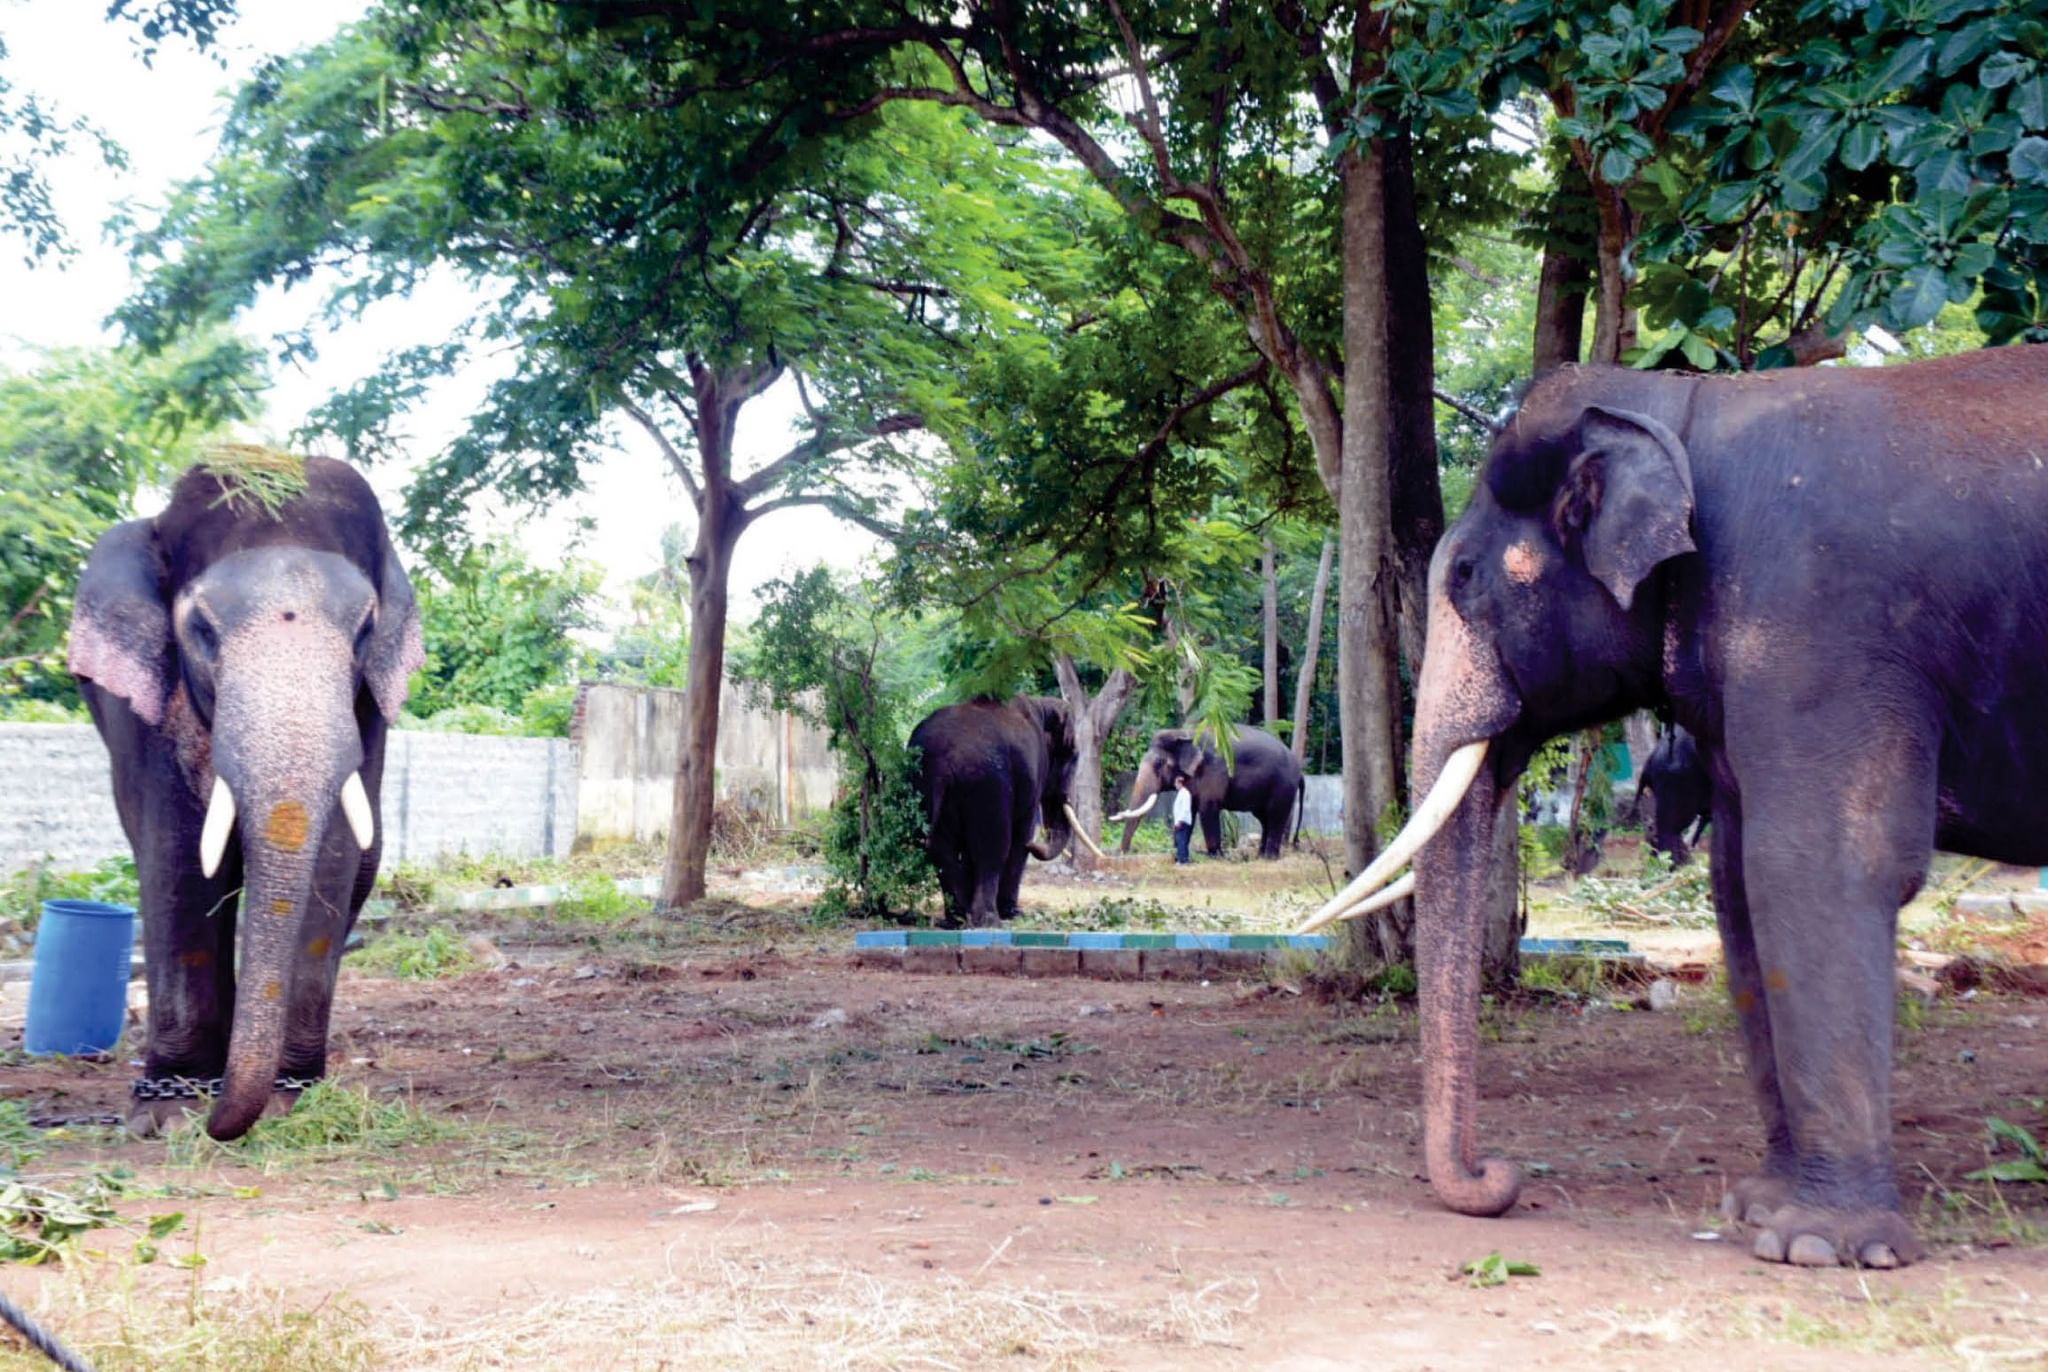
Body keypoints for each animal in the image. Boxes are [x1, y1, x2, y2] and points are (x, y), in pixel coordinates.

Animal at [69, 456, 423, 1146]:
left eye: (365, 631)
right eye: (202, 629)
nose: (218, 1126)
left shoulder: (367, 704)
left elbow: (337, 852)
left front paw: (288, 1101)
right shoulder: (144, 701)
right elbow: (176, 849)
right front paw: (170, 1114)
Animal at [909, 704, 1097, 929]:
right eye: (1074, 754)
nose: (1035, 845)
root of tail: (940, 762)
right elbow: (1021, 834)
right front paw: (1015, 914)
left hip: (923, 785)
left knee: (940, 849)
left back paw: (958, 919)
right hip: (987, 784)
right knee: (993, 847)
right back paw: (989, 921)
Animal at [1114, 729, 1302, 860]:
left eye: (1159, 763)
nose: (1121, 853)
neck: (1184, 733)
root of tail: (1299, 770)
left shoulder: (1214, 771)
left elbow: (1208, 809)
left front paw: (1215, 856)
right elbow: (1190, 809)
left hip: (1283, 787)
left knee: (1276, 815)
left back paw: (1269, 858)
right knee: (1264, 818)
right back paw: (1260, 855)